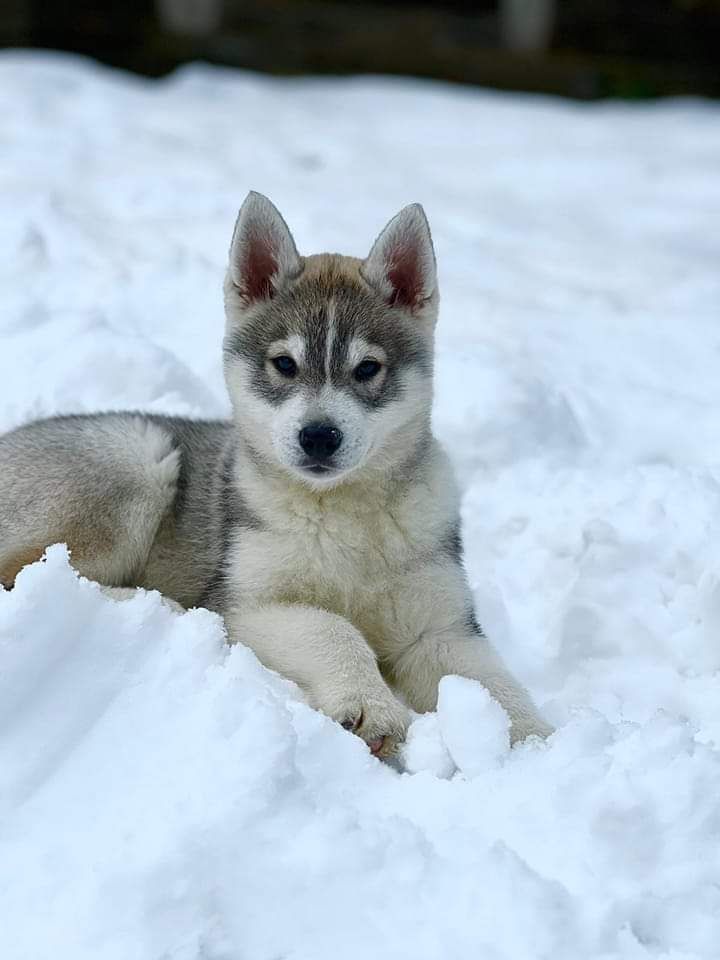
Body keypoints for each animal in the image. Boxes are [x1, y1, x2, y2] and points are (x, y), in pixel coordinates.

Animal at [1, 191, 552, 752]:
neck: (342, 513)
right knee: (25, 574)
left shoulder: (440, 629)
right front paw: (370, 704)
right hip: (138, 455)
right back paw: (154, 605)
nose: (319, 436)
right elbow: (333, 629)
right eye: (284, 364)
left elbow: (496, 687)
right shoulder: (249, 604)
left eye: (367, 368)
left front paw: (540, 744)